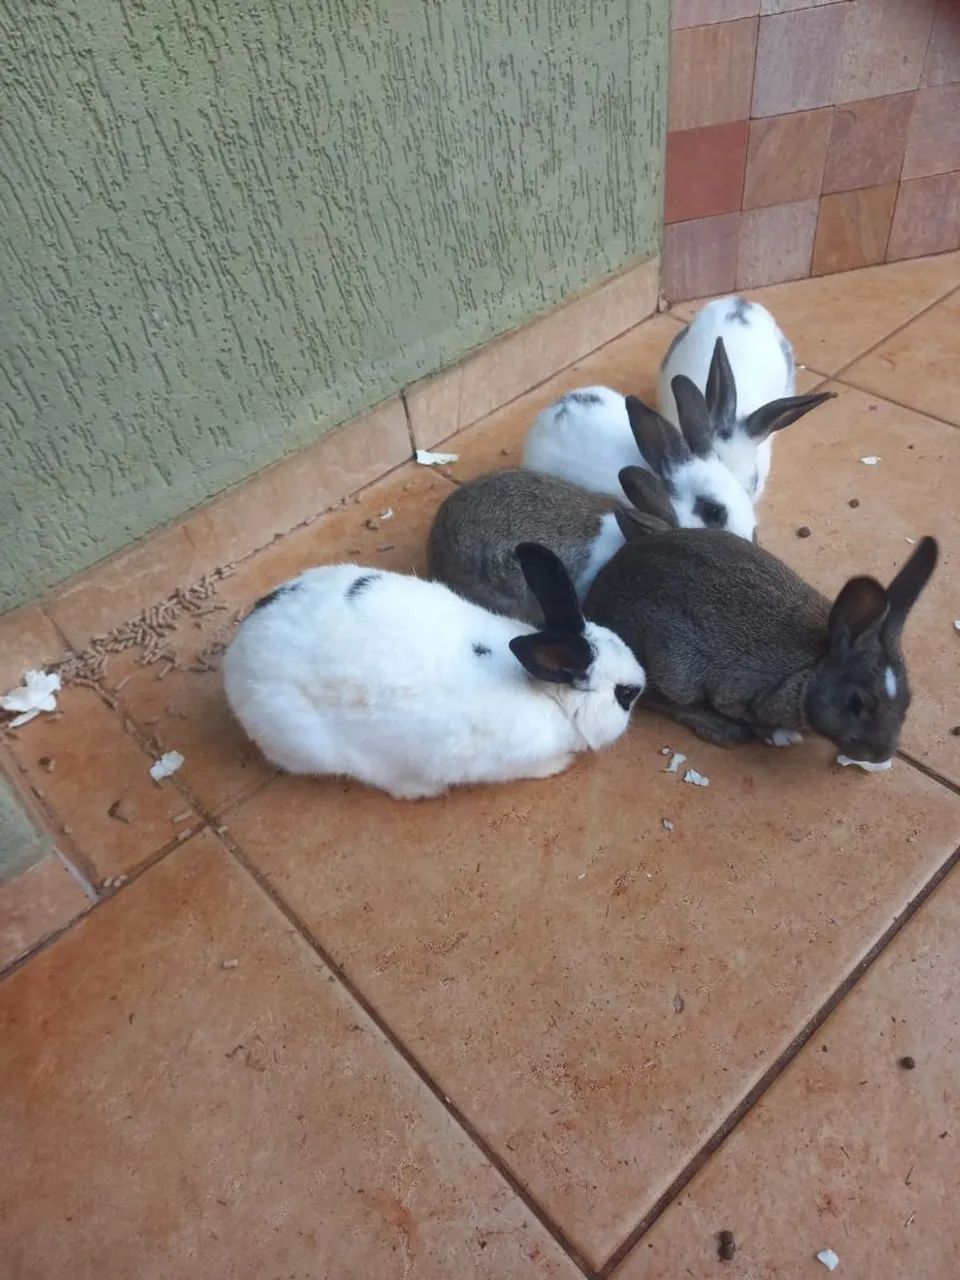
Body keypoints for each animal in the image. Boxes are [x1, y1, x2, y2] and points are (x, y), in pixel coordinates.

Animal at [585, 518, 937, 766]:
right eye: (857, 703)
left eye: (908, 701)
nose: (882, 754)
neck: (813, 668)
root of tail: (596, 593)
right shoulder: (740, 694)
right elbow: (750, 717)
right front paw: (780, 736)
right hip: (669, 666)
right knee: (659, 699)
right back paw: (723, 730)